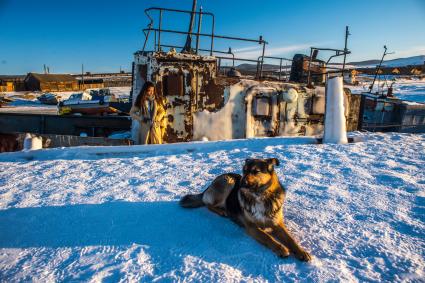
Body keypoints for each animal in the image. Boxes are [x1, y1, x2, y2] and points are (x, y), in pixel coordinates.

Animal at [179, 158, 312, 262]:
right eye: (244, 170)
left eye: (256, 171)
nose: (241, 183)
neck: (260, 196)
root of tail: (208, 186)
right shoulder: (252, 227)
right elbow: (267, 237)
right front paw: (281, 248)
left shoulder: (277, 224)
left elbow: (290, 239)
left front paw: (301, 251)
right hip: (228, 182)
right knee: (208, 204)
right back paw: (222, 211)